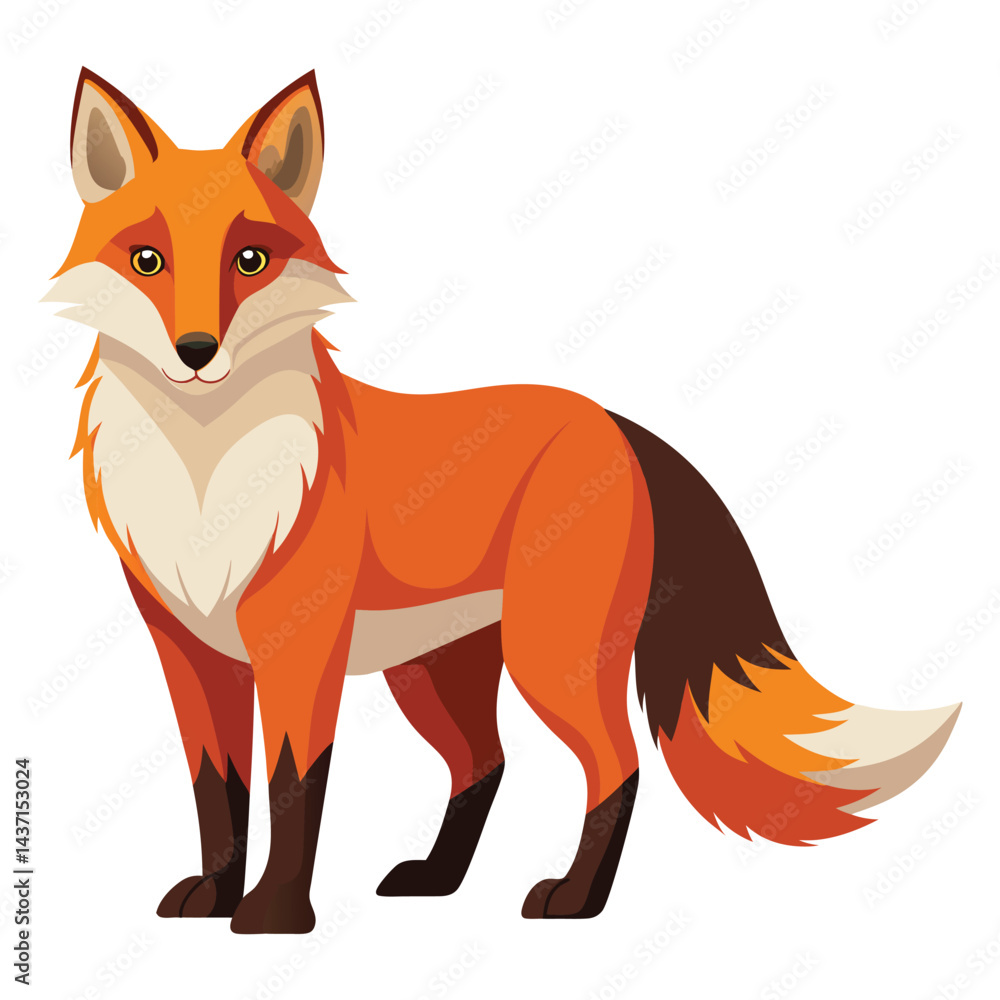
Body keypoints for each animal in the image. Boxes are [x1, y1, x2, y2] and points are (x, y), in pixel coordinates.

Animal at [48, 67, 961, 934]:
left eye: (250, 260)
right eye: (147, 261)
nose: (196, 350)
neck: (207, 482)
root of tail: (611, 420)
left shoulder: (298, 648)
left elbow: (291, 785)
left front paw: (274, 916)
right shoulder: (190, 655)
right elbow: (220, 791)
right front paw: (213, 896)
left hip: (549, 657)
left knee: (616, 766)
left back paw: (576, 900)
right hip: (435, 672)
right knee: (484, 764)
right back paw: (438, 879)